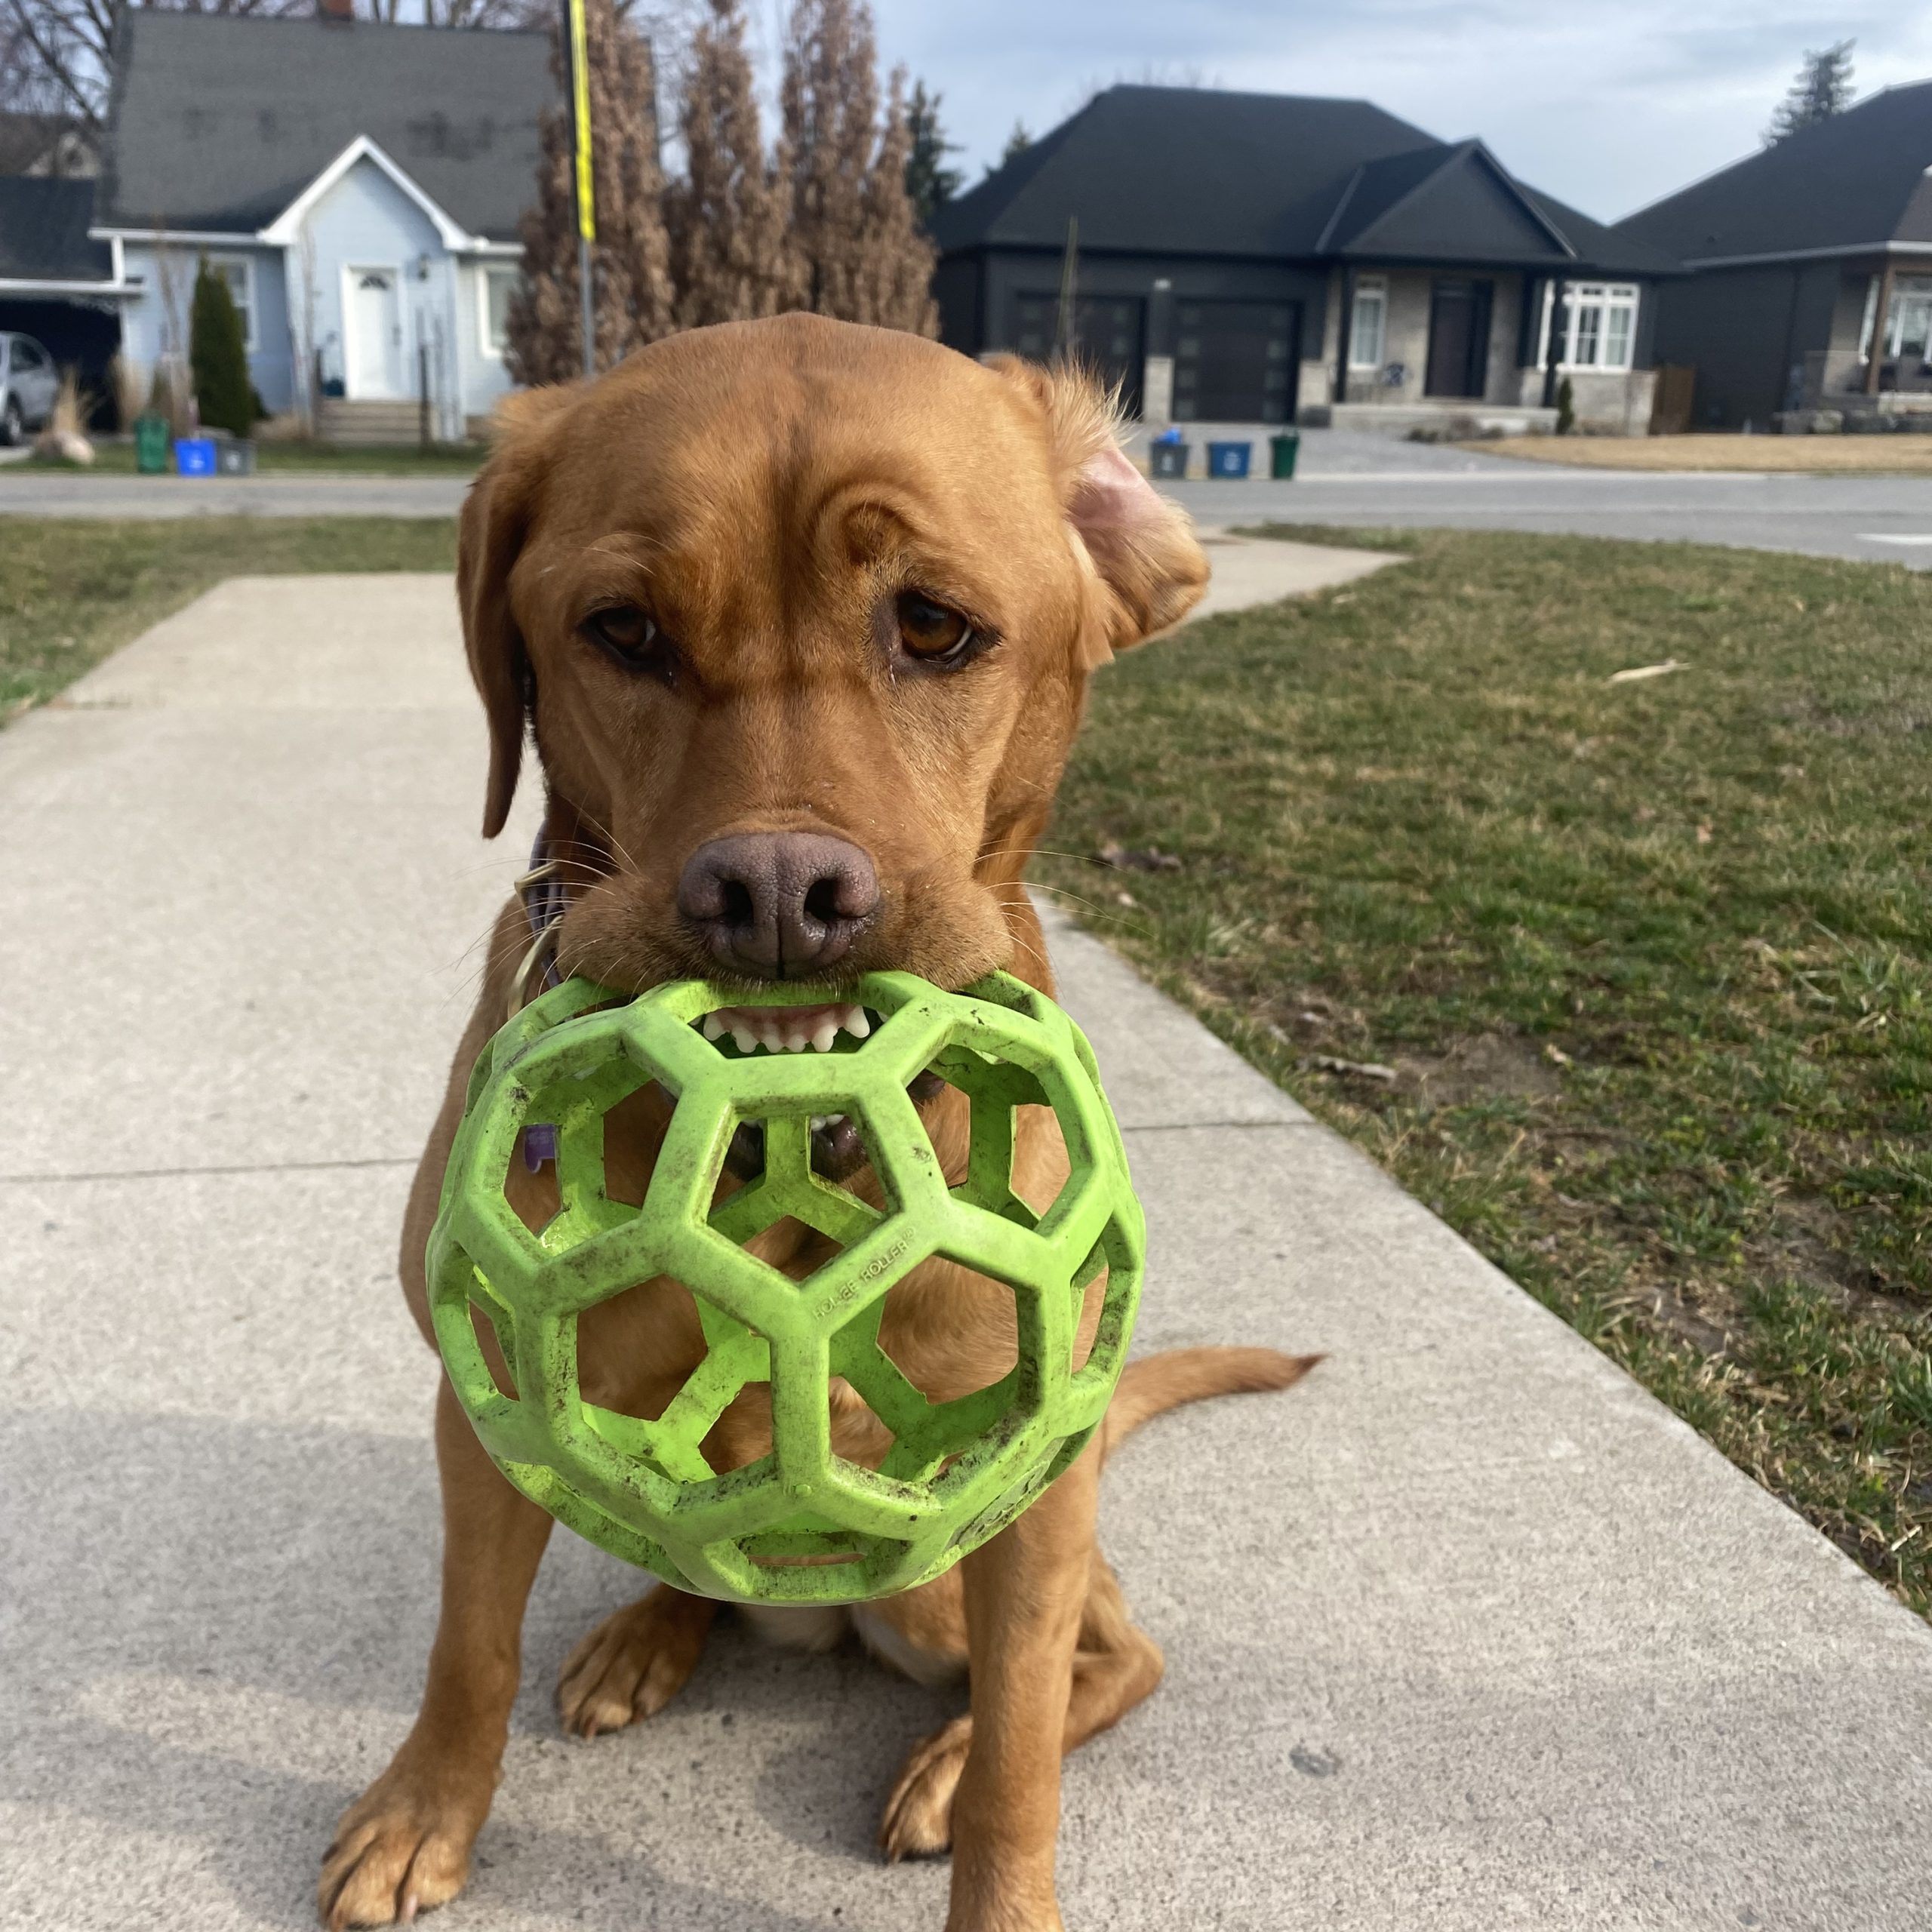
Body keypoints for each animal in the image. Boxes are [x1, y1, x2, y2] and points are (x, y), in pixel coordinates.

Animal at [320, 313, 1315, 1932]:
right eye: (624, 631)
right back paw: (647, 1634)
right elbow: (469, 1646)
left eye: (936, 628)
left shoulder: (1030, 1498)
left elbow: (1026, 1762)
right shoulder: (488, 1414)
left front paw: (995, 1856)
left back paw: (941, 1759)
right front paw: (423, 1814)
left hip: (957, 1579)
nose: (778, 895)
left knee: (1115, 1657)